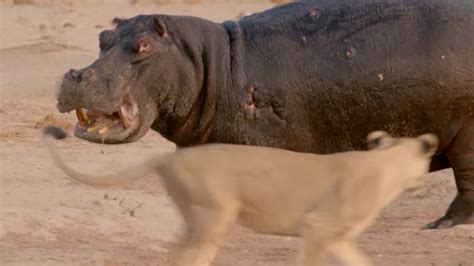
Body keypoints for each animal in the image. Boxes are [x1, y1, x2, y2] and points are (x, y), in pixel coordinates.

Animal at [43, 127, 436, 266]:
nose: (422, 184)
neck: (387, 162)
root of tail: (169, 158)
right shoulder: (318, 225)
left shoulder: (338, 238)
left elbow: (362, 262)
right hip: (214, 216)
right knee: (188, 258)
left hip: (200, 220)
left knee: (179, 253)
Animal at [56, 0, 474, 229]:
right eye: (102, 39)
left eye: (143, 45)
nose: (76, 74)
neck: (212, 64)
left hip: (466, 138)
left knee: (466, 185)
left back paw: (441, 224)